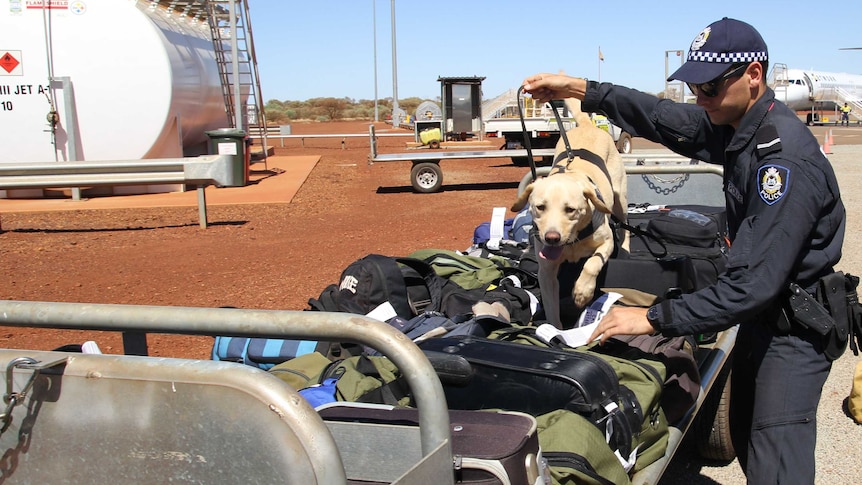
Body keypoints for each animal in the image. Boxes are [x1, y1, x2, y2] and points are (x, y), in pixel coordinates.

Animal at [512, 98, 628, 328]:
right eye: (540, 207)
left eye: (570, 210)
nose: (552, 238)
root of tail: (587, 125)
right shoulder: (546, 272)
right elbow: (551, 310)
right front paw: (555, 331)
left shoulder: (607, 242)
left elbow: (592, 263)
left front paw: (583, 292)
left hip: (620, 200)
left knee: (626, 226)